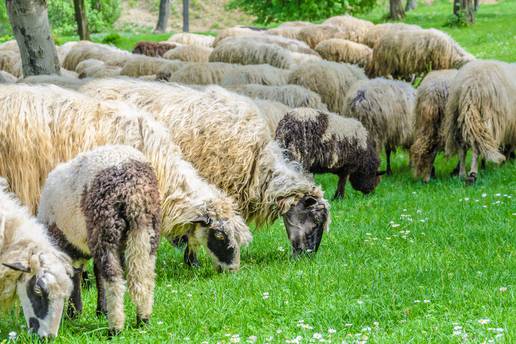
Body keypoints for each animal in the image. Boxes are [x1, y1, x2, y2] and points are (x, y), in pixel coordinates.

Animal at [37, 145, 161, 334]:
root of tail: (133, 192)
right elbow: (92, 273)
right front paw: (94, 311)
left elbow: (76, 275)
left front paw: (74, 313)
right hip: (146, 229)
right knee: (143, 274)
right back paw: (143, 320)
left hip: (104, 226)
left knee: (114, 278)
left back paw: (115, 328)